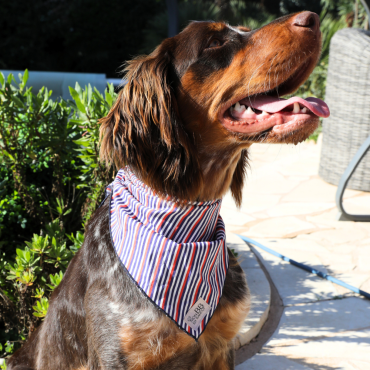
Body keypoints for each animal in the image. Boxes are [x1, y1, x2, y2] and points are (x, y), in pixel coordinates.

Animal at [7, 10, 328, 370]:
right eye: (215, 42)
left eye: (244, 31)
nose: (312, 18)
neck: (183, 229)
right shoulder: (117, 356)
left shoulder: (220, 345)